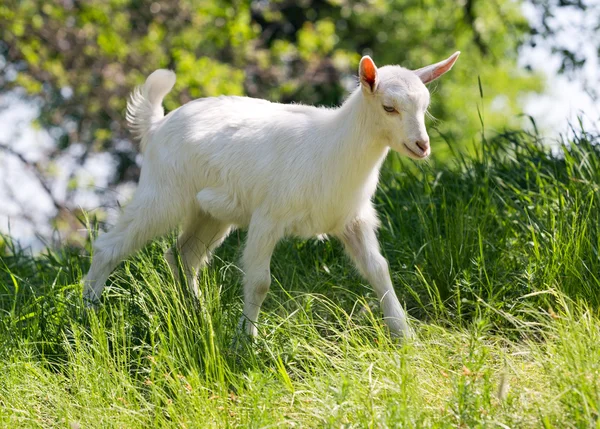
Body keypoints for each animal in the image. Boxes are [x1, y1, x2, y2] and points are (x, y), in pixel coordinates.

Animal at [83, 51, 460, 338]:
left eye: (424, 106)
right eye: (389, 107)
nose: (422, 146)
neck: (332, 146)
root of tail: (157, 125)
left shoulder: (352, 219)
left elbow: (379, 270)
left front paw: (405, 336)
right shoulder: (268, 217)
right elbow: (259, 282)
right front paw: (245, 342)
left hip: (209, 213)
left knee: (183, 256)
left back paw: (198, 315)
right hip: (162, 193)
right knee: (110, 246)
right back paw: (88, 312)